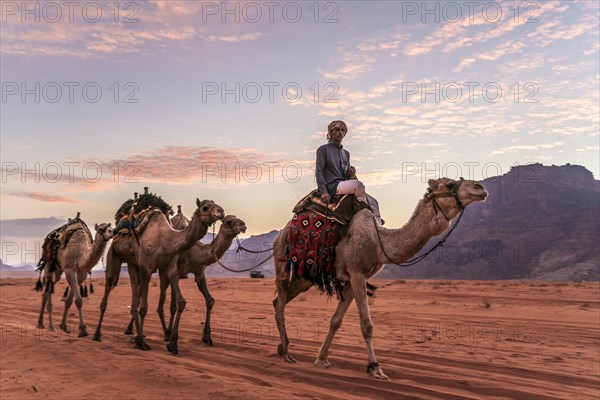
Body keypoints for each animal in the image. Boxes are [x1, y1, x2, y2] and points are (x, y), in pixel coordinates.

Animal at [92, 198, 224, 354]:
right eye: (205, 207)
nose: (221, 212)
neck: (164, 239)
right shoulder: (146, 267)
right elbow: (144, 308)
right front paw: (142, 343)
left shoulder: (171, 268)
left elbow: (180, 302)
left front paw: (173, 344)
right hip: (114, 255)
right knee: (109, 288)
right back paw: (97, 334)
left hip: (133, 264)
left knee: (134, 294)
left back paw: (134, 335)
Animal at [272, 178, 488, 378]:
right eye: (450, 185)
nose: (480, 188)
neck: (378, 242)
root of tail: (282, 233)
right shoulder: (357, 272)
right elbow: (367, 325)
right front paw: (375, 368)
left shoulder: (353, 278)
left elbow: (336, 321)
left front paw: (321, 359)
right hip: (284, 263)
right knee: (280, 301)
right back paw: (287, 355)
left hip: (305, 277)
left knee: (277, 301)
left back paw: (282, 348)